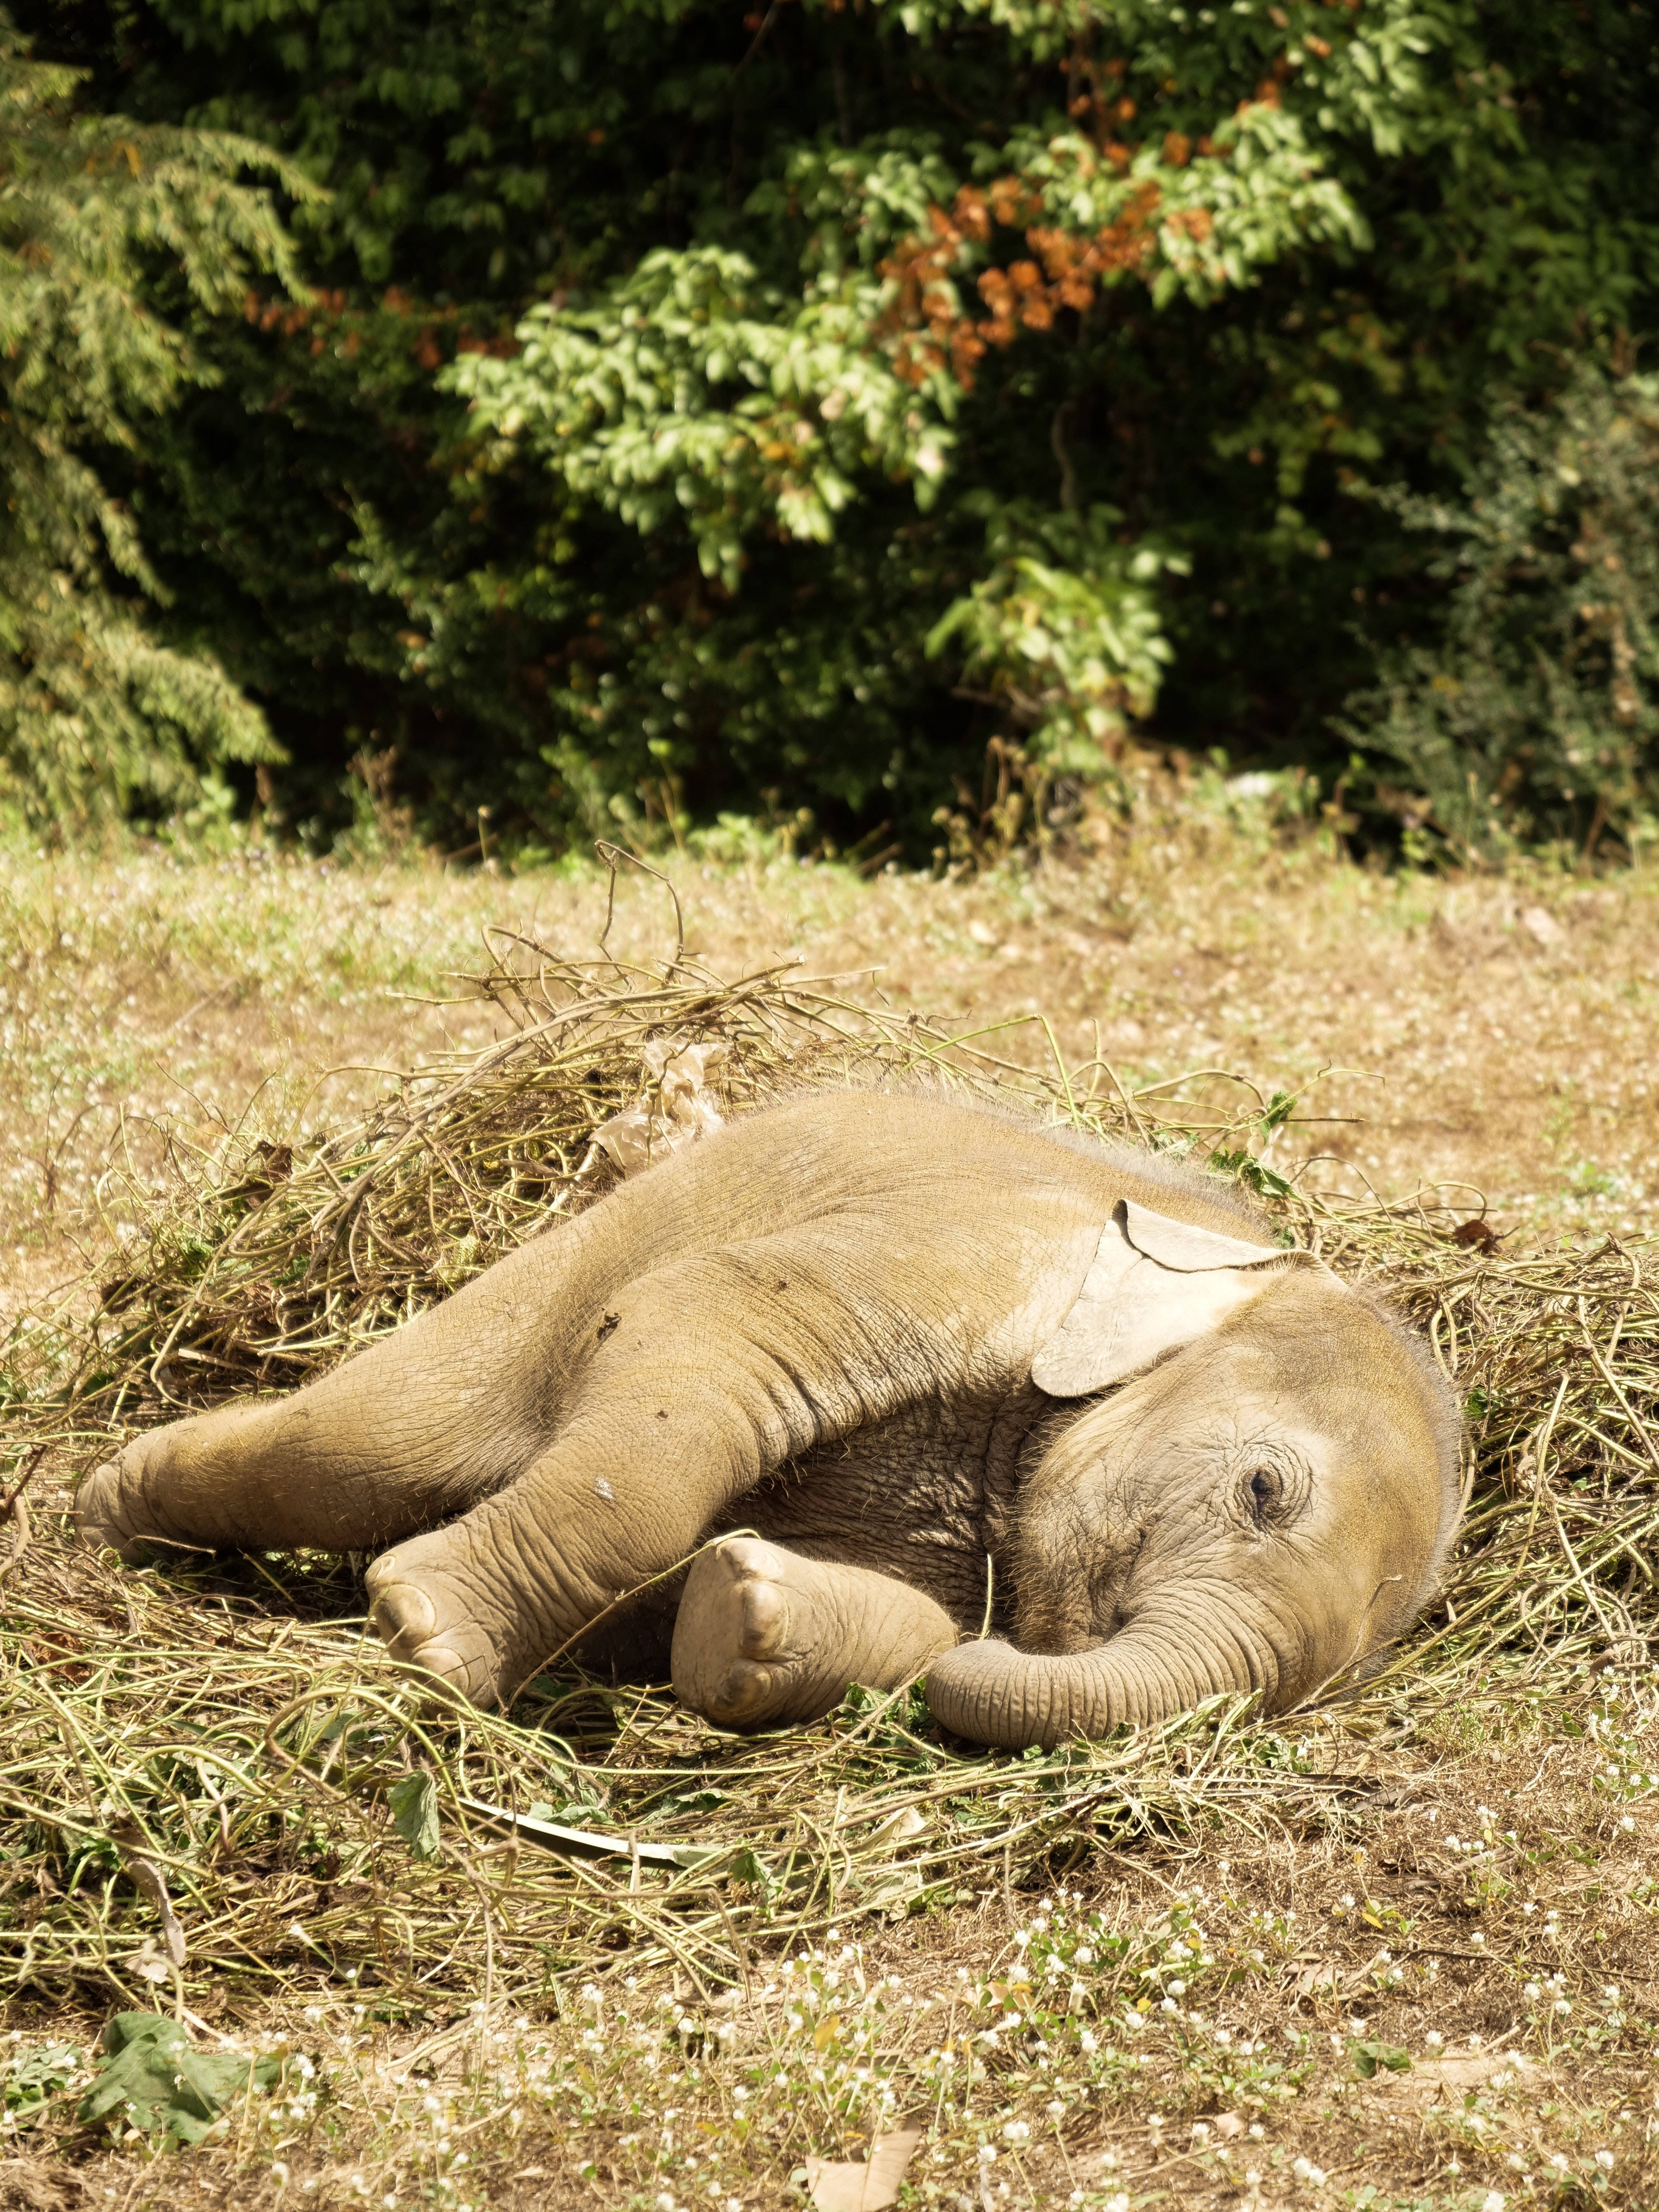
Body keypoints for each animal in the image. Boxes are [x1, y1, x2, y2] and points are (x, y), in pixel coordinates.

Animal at [76, 1088, 1463, 1750]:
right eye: (1263, 1490)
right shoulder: (957, 1251)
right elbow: (700, 1320)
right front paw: (427, 1635)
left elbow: (913, 1623)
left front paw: (741, 1613)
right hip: (564, 1267)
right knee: (366, 1446)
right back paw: (104, 1517)